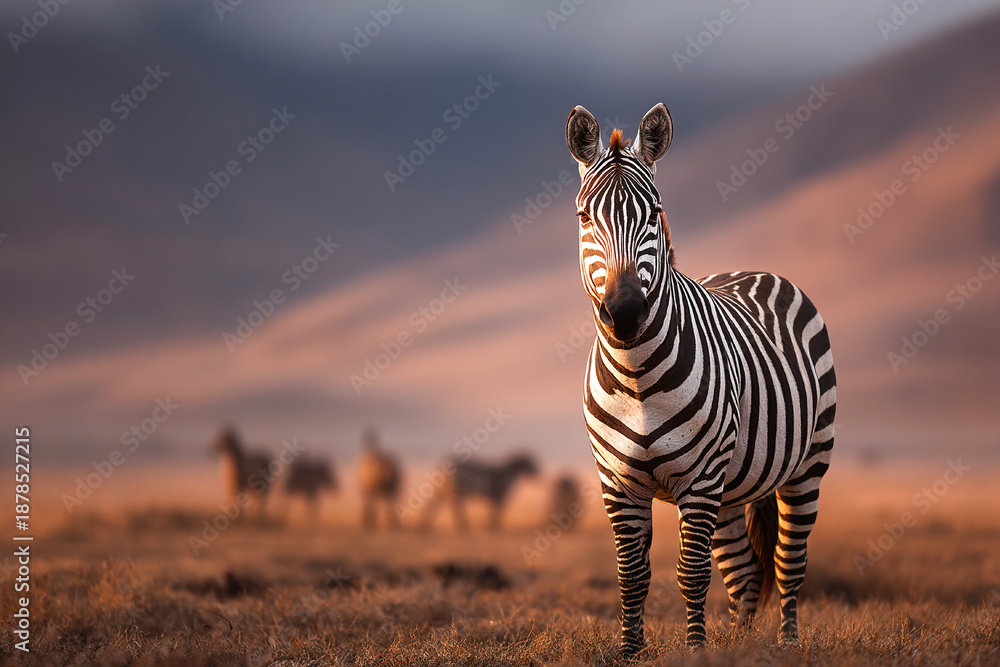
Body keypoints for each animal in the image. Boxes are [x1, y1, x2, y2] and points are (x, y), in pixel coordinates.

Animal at [565, 104, 836, 654]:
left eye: (654, 213)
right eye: (584, 217)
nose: (625, 312)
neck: (637, 378)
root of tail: (755, 271)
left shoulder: (700, 477)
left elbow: (691, 574)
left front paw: (695, 652)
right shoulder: (616, 481)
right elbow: (631, 575)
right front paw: (630, 651)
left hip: (807, 465)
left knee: (788, 563)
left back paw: (786, 642)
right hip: (731, 489)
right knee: (744, 569)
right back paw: (740, 645)